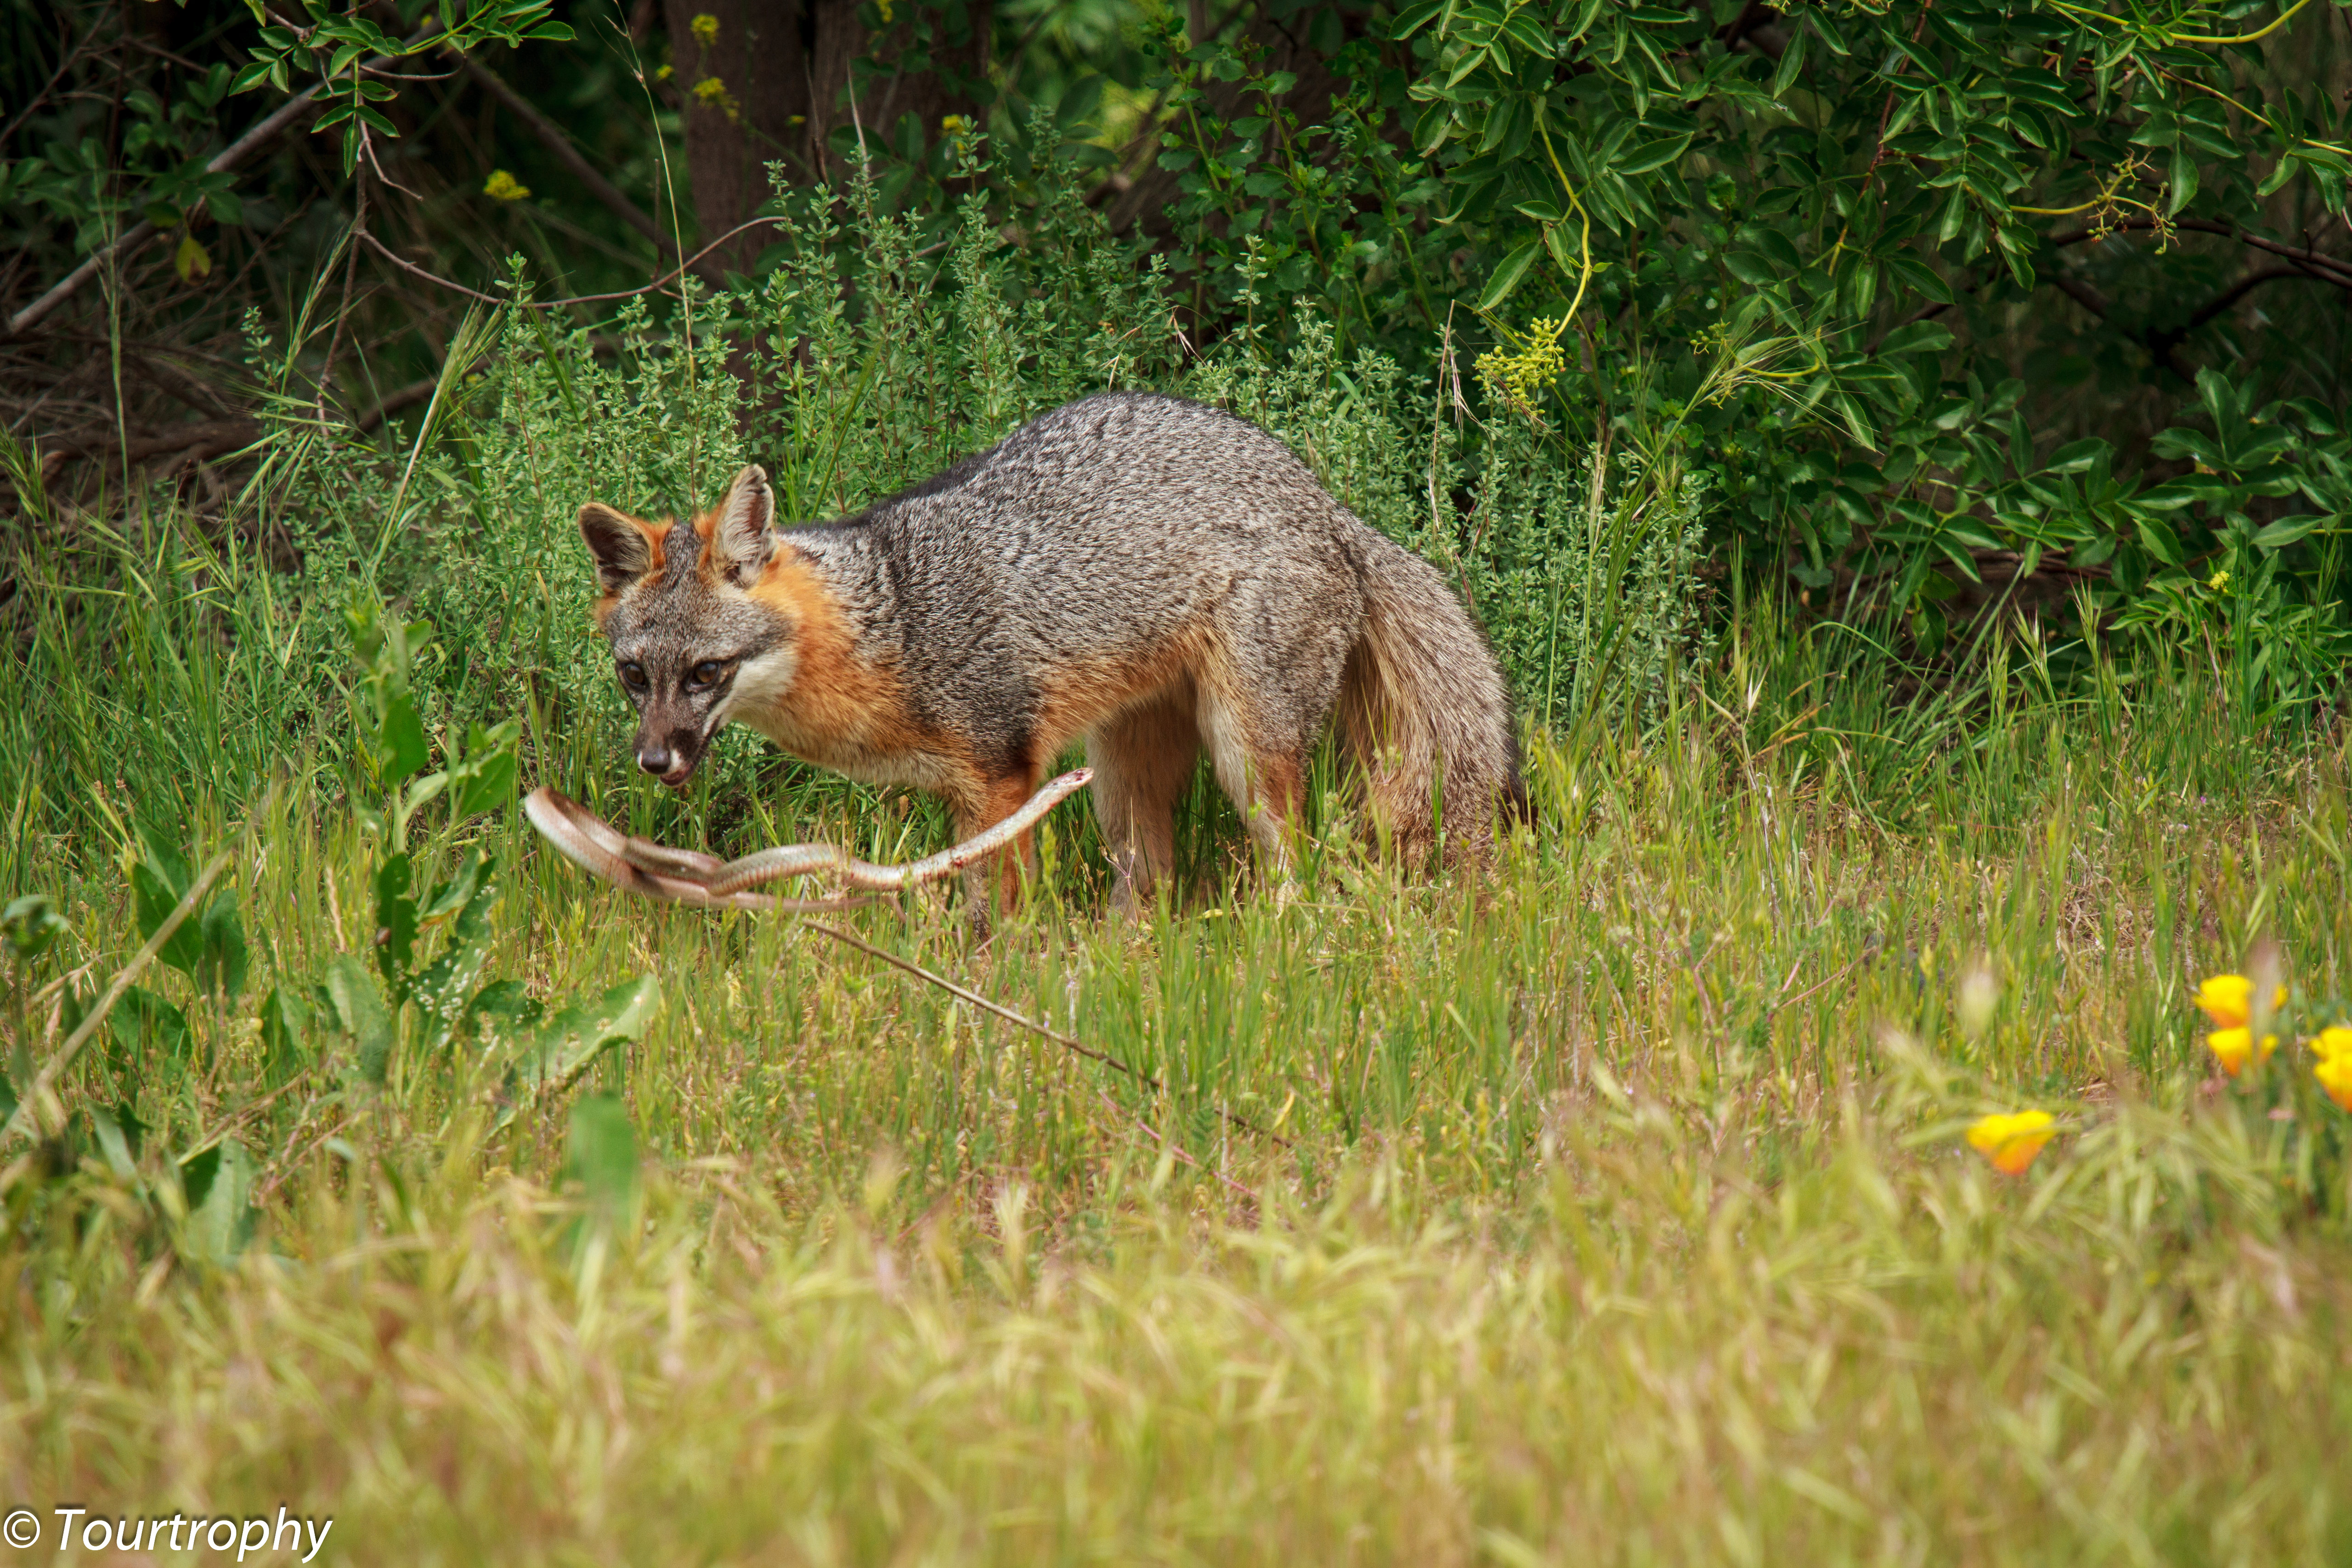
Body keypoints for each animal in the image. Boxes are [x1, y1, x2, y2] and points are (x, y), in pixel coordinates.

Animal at [576, 390, 1525, 915]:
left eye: (708, 672)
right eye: (635, 676)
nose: (655, 761)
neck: (894, 622)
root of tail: (1327, 506)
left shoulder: (1004, 776)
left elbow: (1001, 918)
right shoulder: (970, 795)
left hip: (1247, 754)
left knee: (1297, 862)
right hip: (1121, 781)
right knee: (1151, 890)